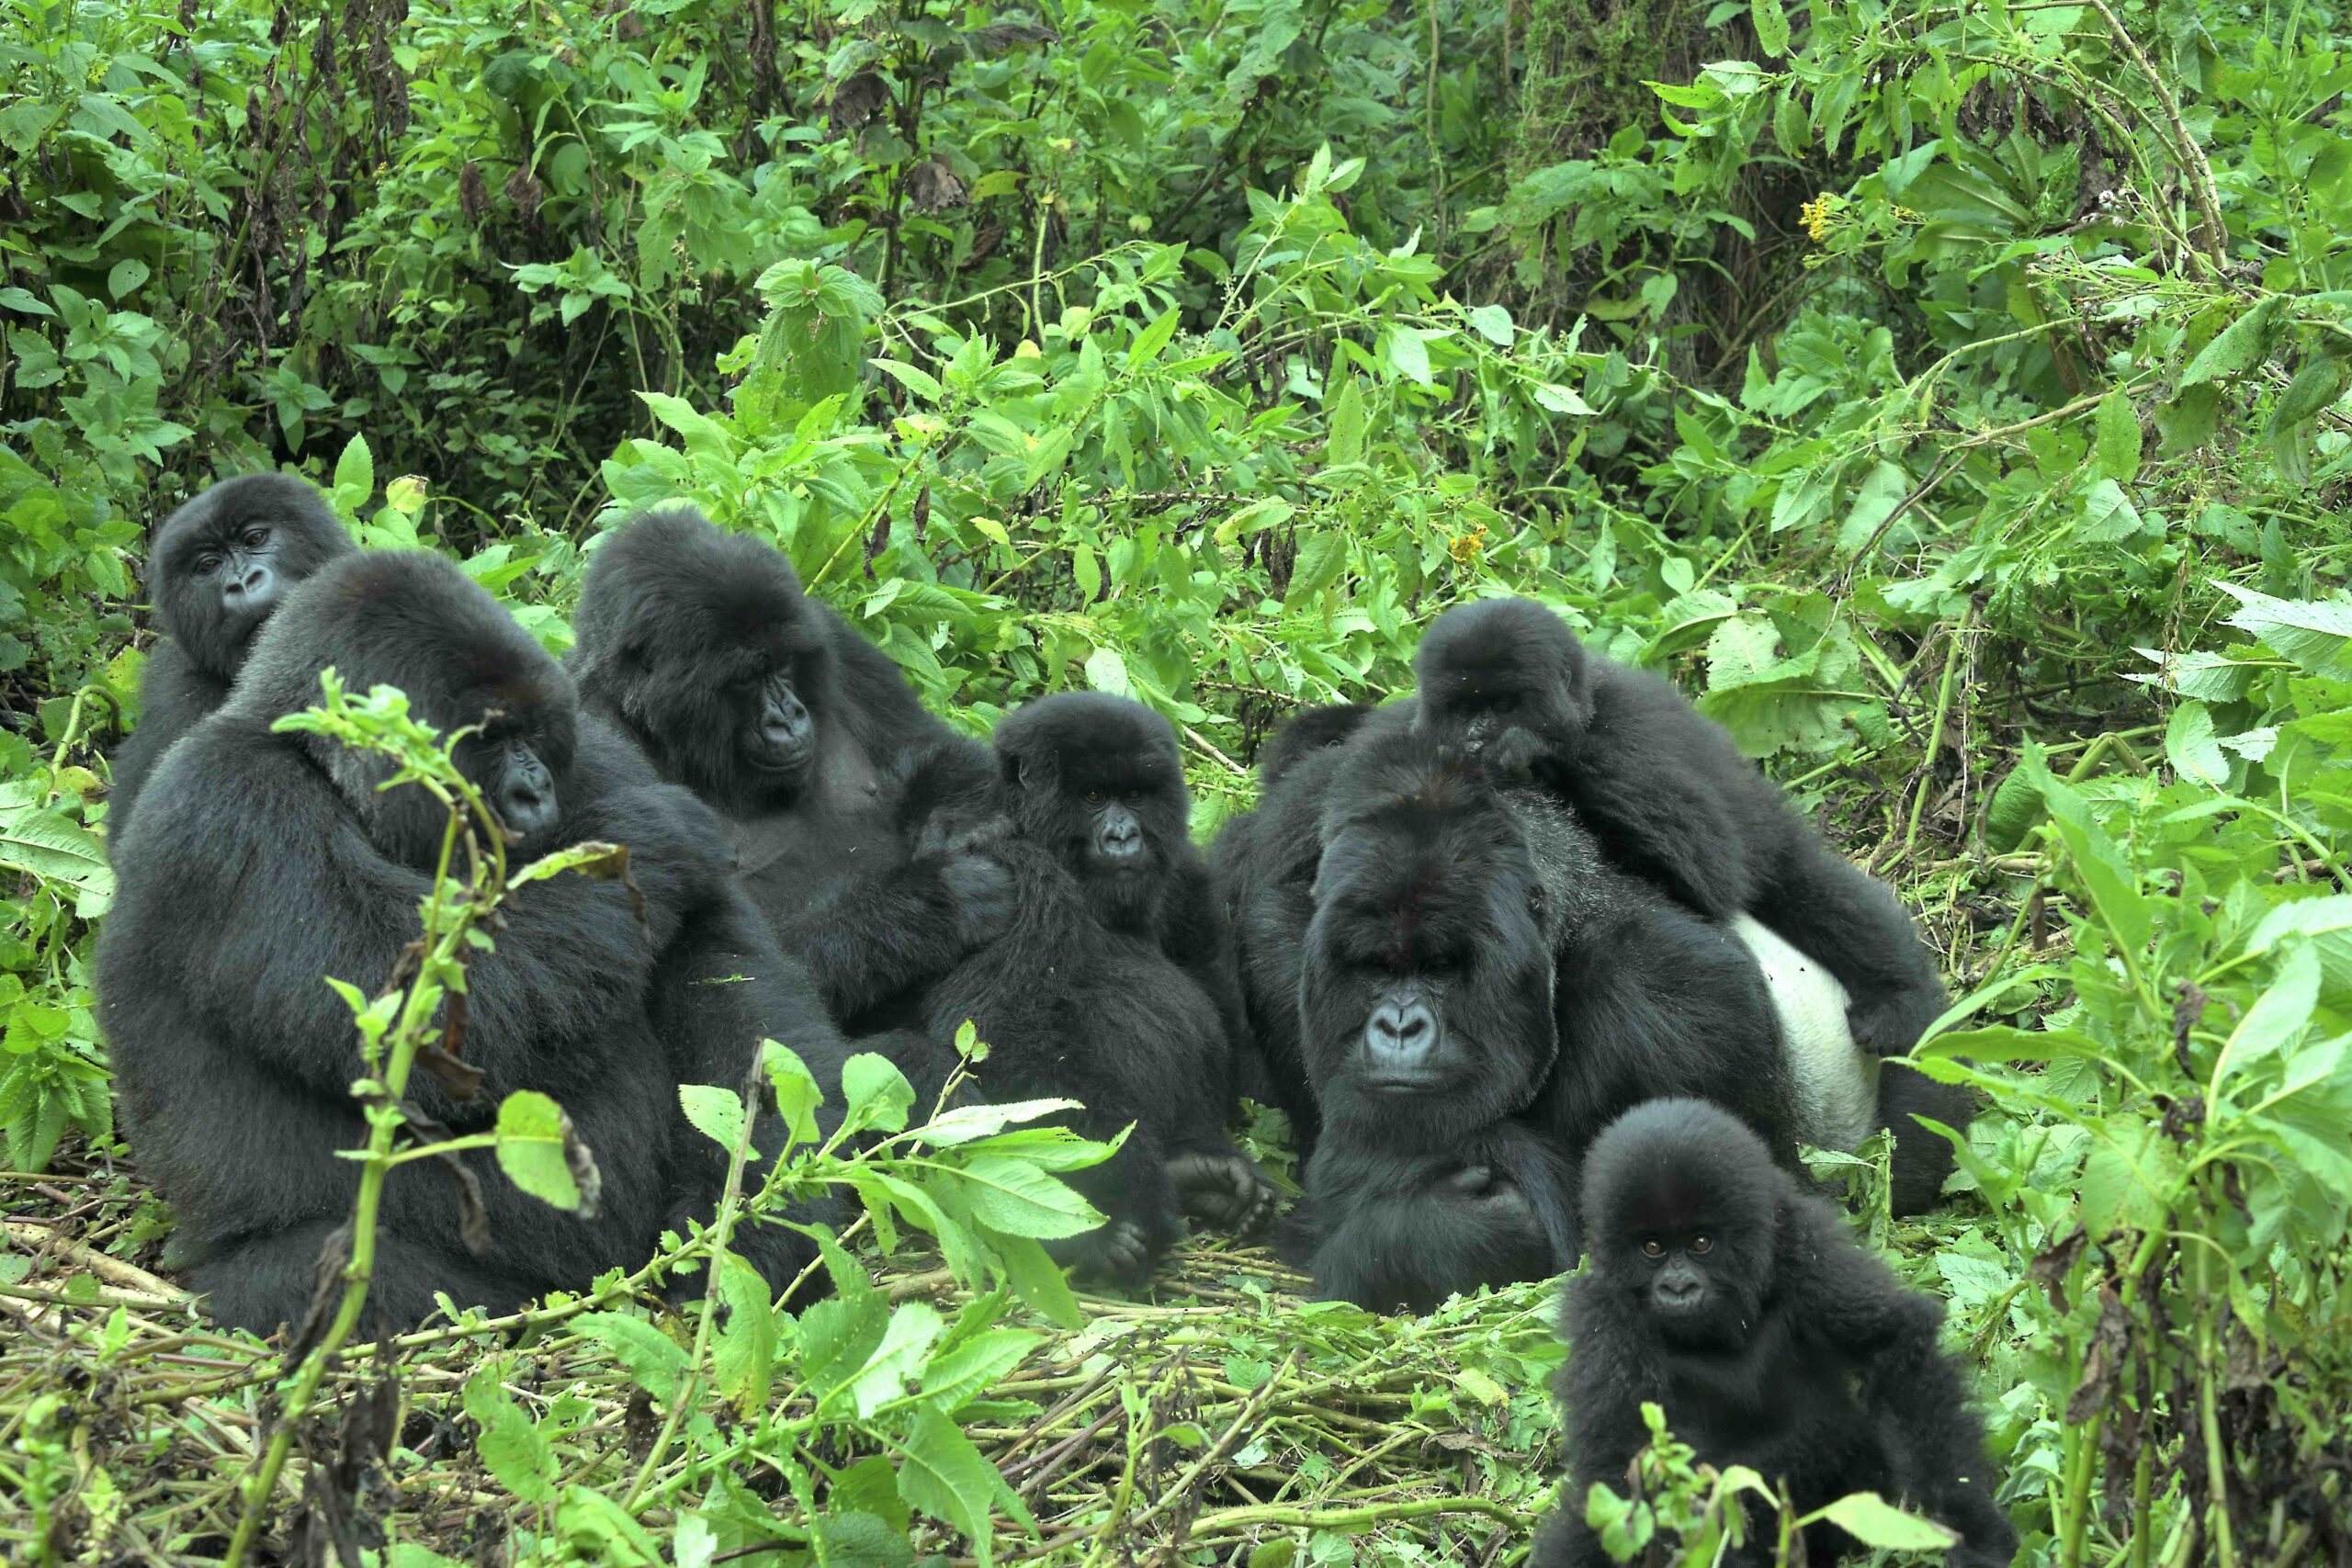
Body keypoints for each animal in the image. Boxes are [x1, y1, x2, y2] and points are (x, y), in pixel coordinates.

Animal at [101, 552, 860, 1335]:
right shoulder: (228, 806)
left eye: (533, 733)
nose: (535, 793)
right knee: (300, 1278)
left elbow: (727, 978)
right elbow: (426, 1021)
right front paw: (656, 833)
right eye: (488, 742)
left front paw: (754, 1221)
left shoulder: (598, 752)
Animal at [893, 700, 1270, 1288]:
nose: (1123, 837)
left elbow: (1220, 1000)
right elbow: (1003, 1034)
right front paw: (1103, 1215)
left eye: (1134, 795)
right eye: (1092, 797)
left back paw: (1199, 1170)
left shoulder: (1183, 869)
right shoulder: (1007, 867)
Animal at [1533, 1100, 2013, 1568]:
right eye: (1652, 1248)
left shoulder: (1804, 1247)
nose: (1678, 1288)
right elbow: (1620, 1461)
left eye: (1701, 1242)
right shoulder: (1604, 1315)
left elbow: (1892, 1344)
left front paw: (1971, 1523)